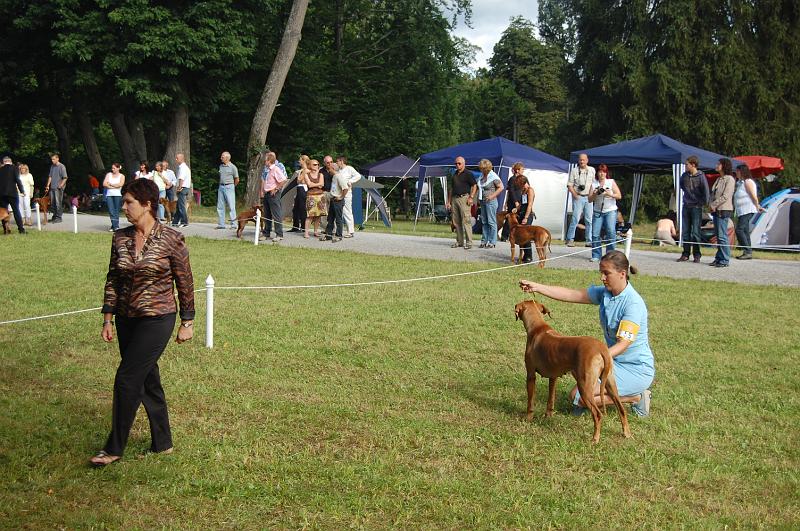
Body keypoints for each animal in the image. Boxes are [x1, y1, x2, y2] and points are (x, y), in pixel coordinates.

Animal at [512, 300, 632, 444]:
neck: (538, 327)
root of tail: (601, 348)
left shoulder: (530, 375)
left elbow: (530, 401)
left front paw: (528, 418)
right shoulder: (553, 377)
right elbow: (551, 399)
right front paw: (548, 416)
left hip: (584, 386)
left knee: (597, 414)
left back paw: (595, 438)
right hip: (610, 383)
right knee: (621, 409)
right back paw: (626, 433)